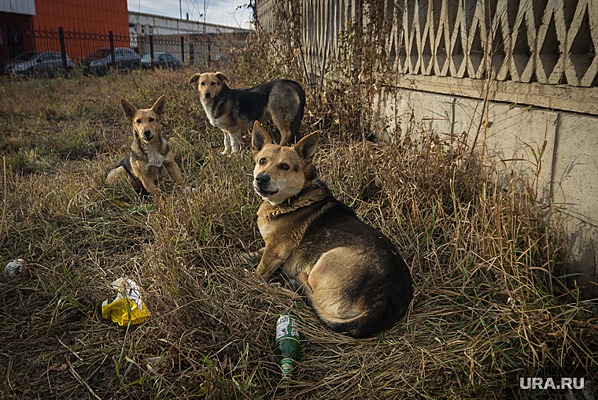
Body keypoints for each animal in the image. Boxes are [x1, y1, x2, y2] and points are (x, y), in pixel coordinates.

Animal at [251, 122, 414, 338]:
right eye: (262, 161)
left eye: (284, 166)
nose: (260, 179)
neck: (295, 197)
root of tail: (380, 308)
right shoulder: (269, 245)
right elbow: (257, 251)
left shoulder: (275, 251)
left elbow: (259, 272)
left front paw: (249, 278)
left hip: (326, 260)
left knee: (310, 297)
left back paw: (288, 285)